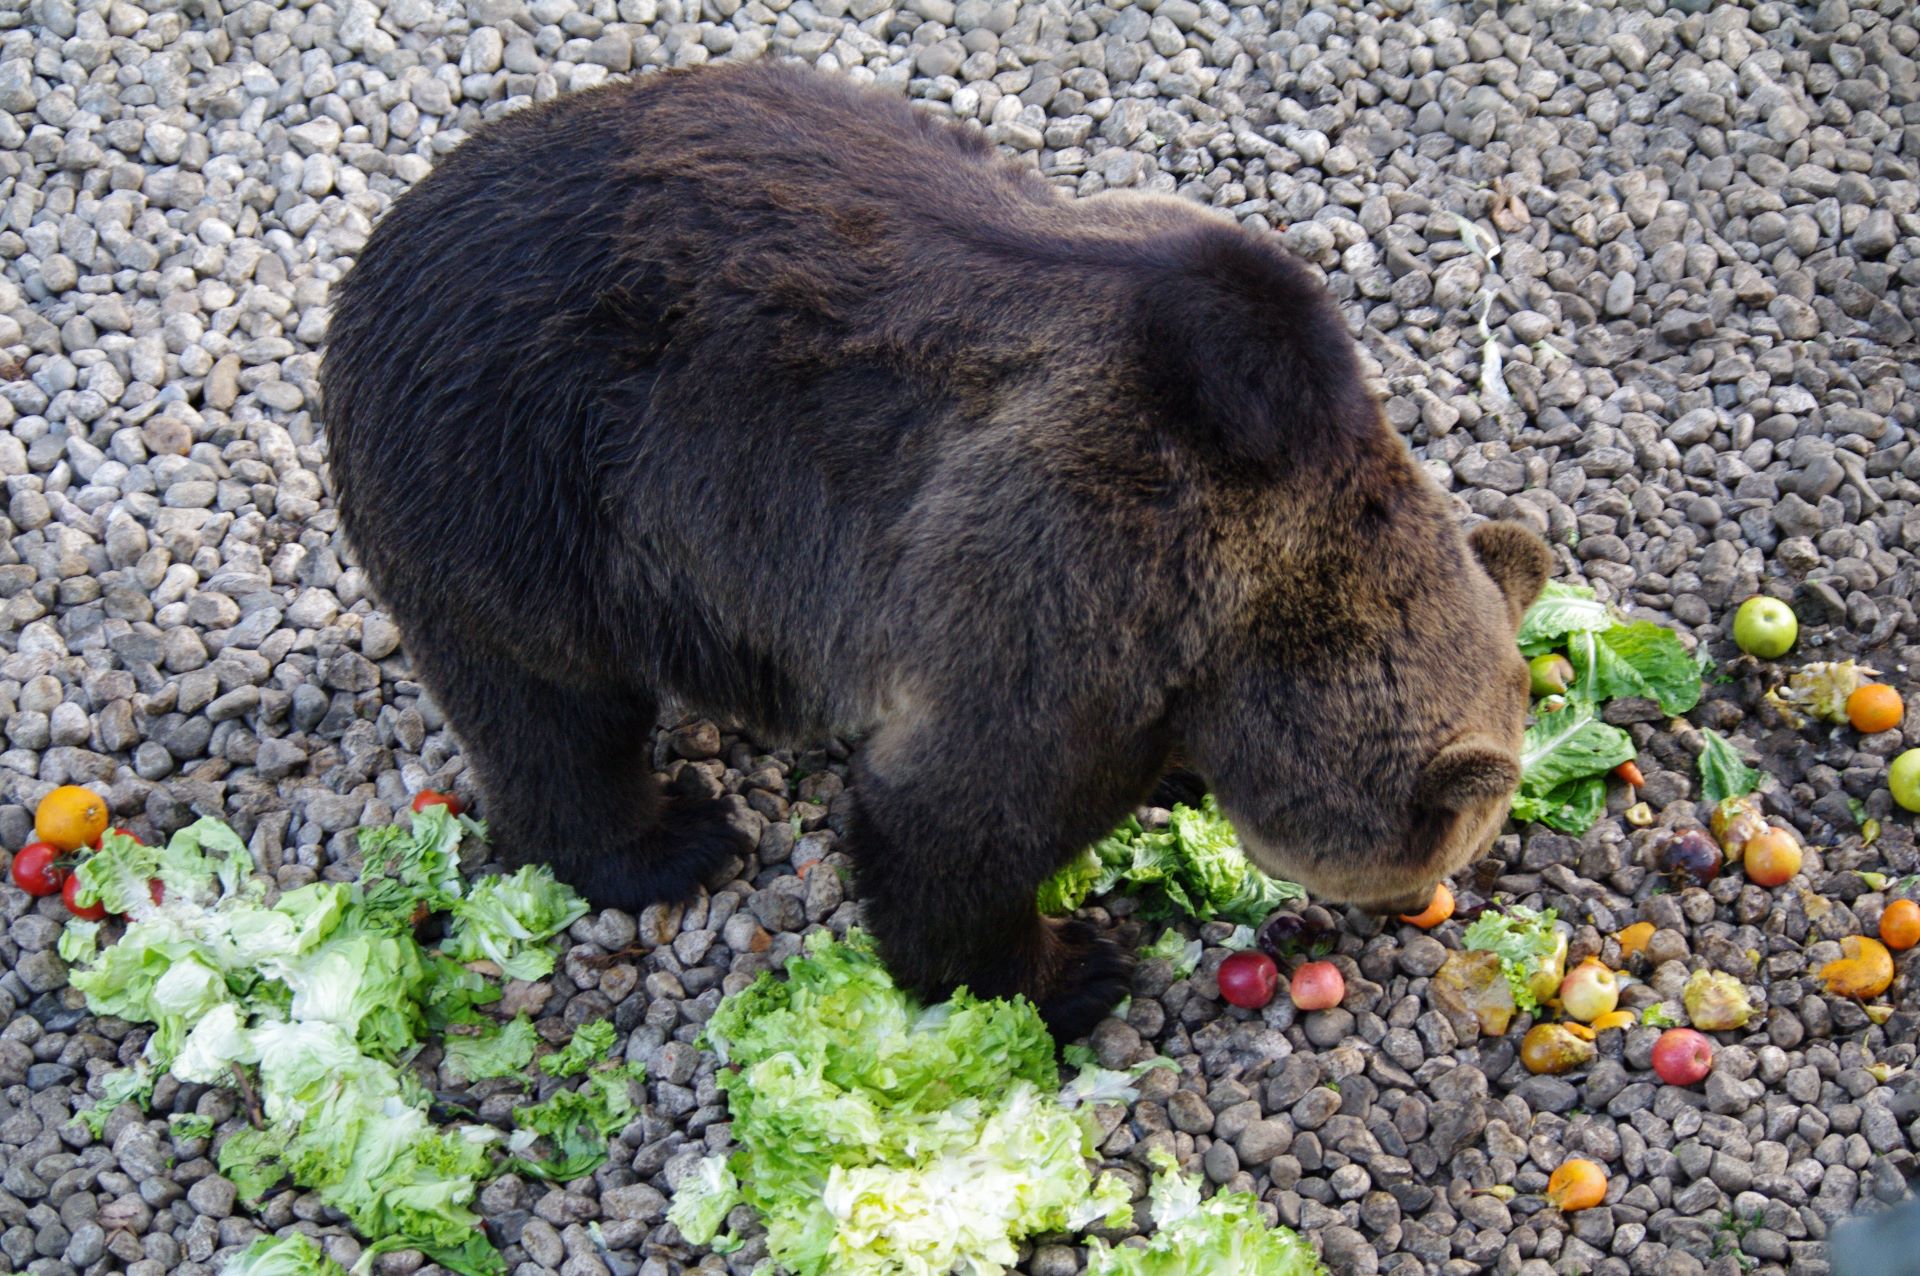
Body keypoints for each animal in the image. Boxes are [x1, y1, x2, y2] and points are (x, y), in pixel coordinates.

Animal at [322, 54, 1551, 1043]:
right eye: (1443, 847)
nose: (1415, 906)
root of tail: (377, 252)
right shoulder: (1086, 563)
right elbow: (962, 817)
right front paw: (1067, 968)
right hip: (519, 474)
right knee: (549, 704)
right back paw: (672, 838)